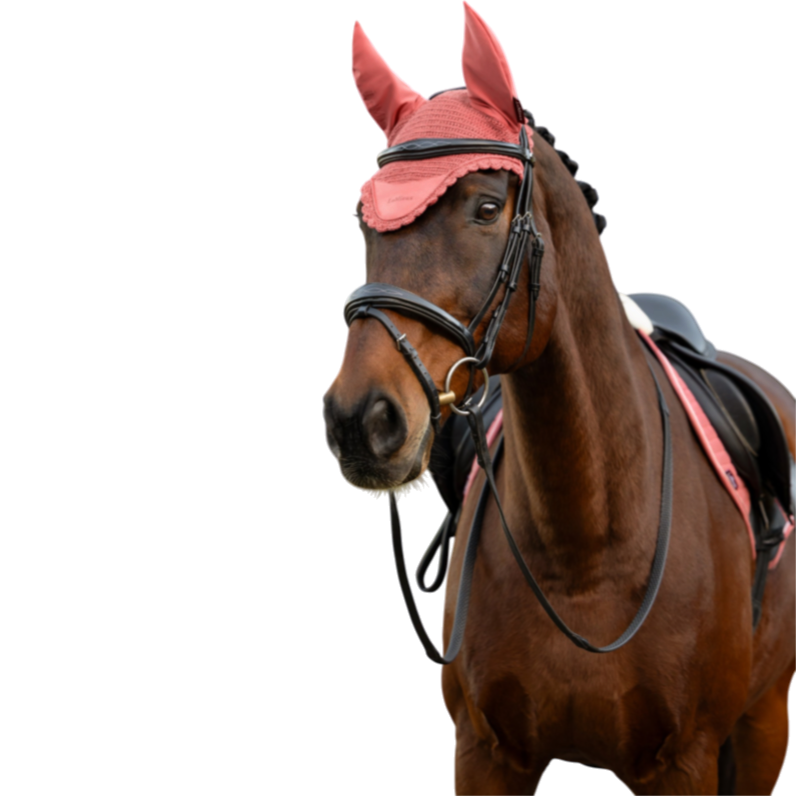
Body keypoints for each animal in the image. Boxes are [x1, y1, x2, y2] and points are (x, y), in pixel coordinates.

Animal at [323, 5, 796, 794]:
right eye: (365, 220)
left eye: (486, 207)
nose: (360, 421)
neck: (588, 546)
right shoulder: (485, 755)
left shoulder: (686, 760)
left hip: (768, 719)